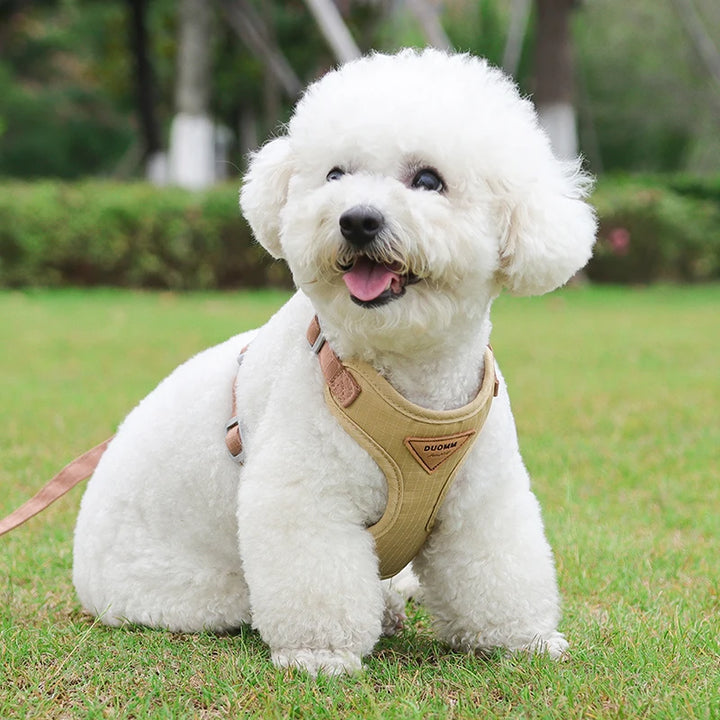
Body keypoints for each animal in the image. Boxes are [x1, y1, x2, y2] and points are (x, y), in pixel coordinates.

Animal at [74, 49, 596, 676]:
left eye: (428, 180)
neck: (407, 382)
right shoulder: (305, 493)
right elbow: (317, 575)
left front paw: (523, 641)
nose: (357, 220)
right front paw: (320, 654)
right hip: (197, 590)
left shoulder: (483, 497)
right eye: (335, 175)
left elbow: (497, 564)